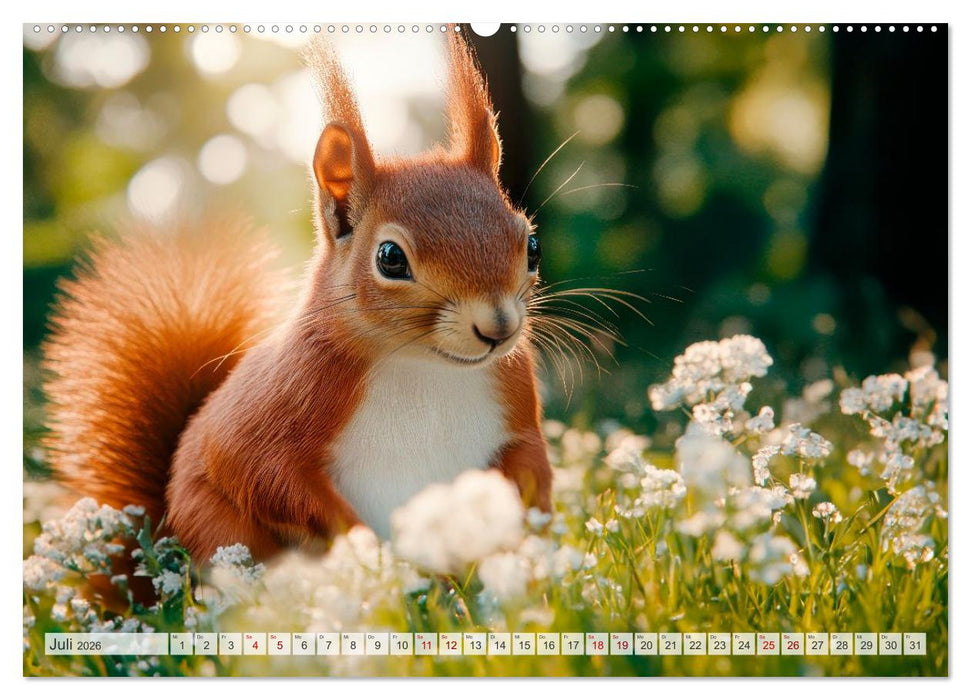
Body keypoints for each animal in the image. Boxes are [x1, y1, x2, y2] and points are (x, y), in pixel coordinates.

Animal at [42, 29, 553, 564]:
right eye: (390, 258)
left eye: (532, 245)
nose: (498, 327)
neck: (424, 367)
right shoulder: (285, 396)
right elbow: (260, 471)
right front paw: (364, 546)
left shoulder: (514, 389)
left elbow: (530, 456)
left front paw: (526, 527)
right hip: (217, 526)